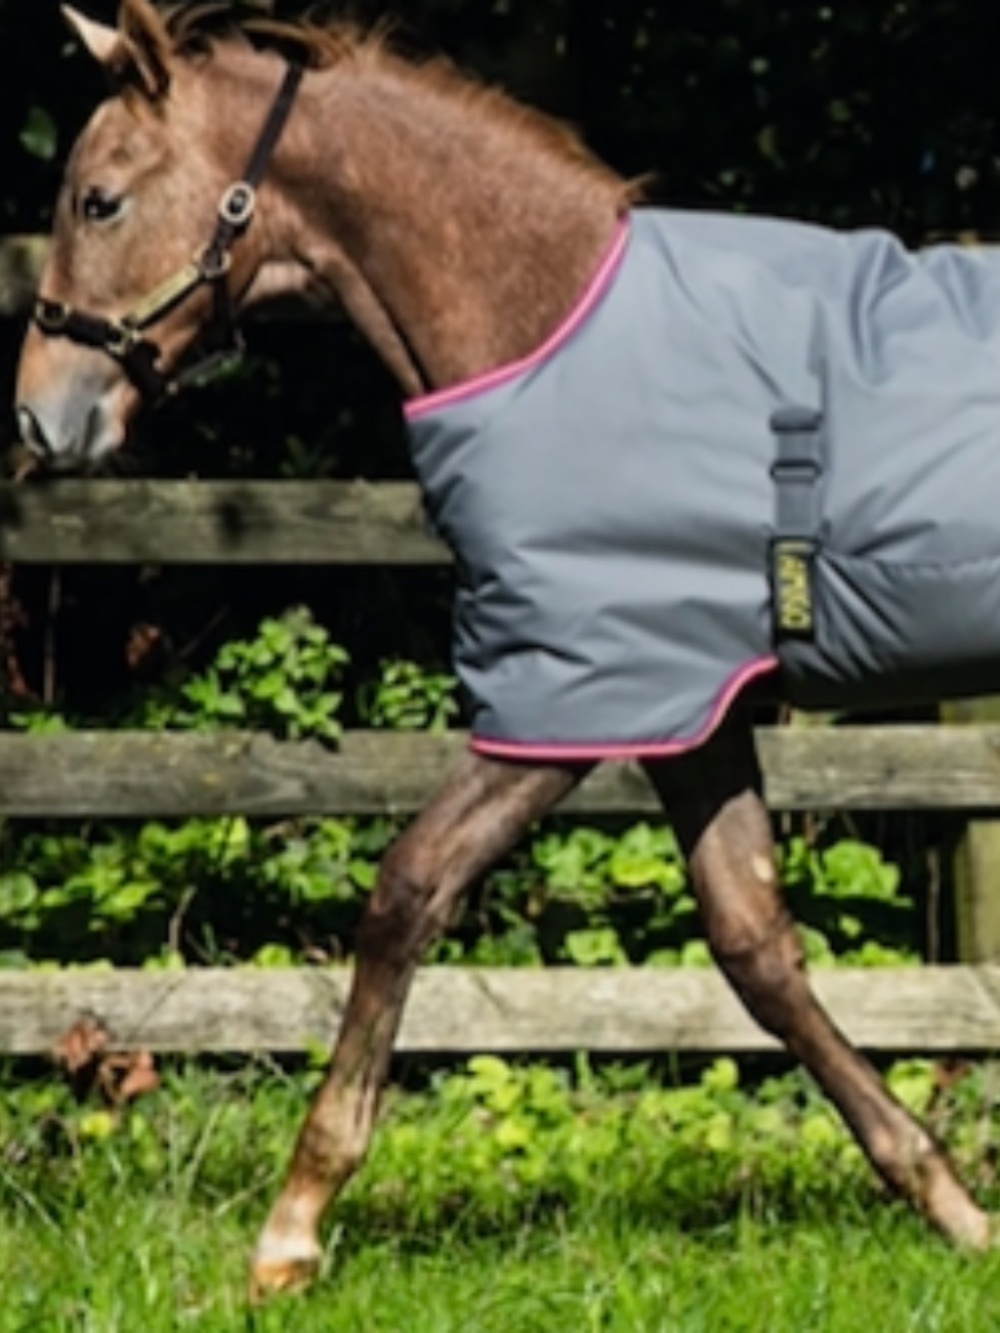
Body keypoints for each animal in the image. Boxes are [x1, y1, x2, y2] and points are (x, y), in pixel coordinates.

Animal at [15, 0, 1000, 1299]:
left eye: (99, 200)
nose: (40, 415)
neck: (544, 327)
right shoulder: (683, 708)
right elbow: (754, 947)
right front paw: (951, 1204)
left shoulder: (567, 704)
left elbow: (407, 889)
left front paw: (291, 1228)